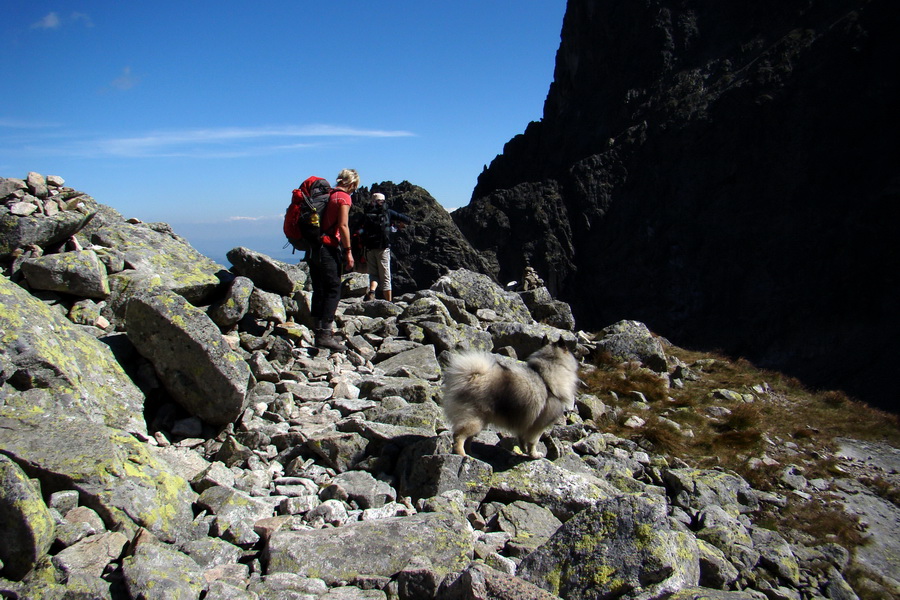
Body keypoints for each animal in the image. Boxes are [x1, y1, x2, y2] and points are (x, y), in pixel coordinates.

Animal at [442, 342, 580, 460]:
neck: (546, 378)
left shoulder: (525, 424)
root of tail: (472, 377)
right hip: (474, 420)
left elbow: (523, 439)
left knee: (468, 439)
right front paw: (534, 455)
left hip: (479, 422)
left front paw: (524, 451)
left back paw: (472, 454)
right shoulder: (538, 426)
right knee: (459, 436)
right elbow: (533, 442)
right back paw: (462, 454)